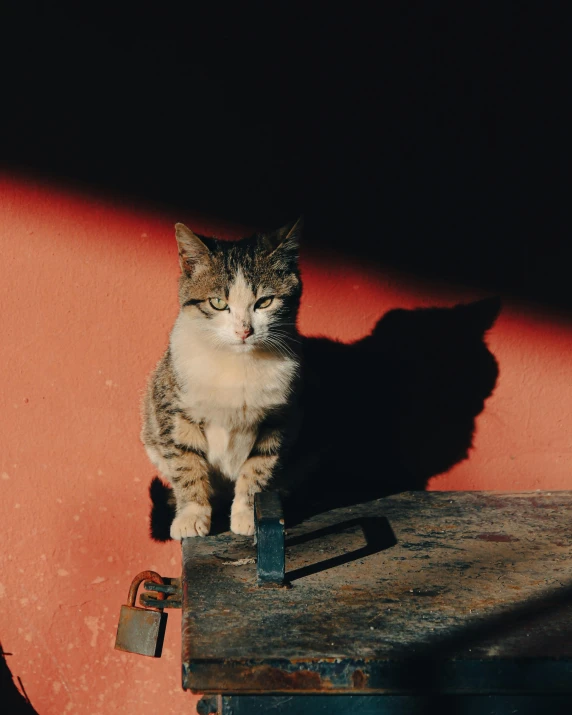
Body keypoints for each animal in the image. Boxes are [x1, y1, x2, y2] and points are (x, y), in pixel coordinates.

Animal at [141, 221, 304, 540]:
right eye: (218, 303)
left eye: (265, 301)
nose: (244, 330)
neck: (236, 362)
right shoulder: (174, 408)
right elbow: (186, 463)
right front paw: (192, 515)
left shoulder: (278, 417)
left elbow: (259, 467)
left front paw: (249, 515)